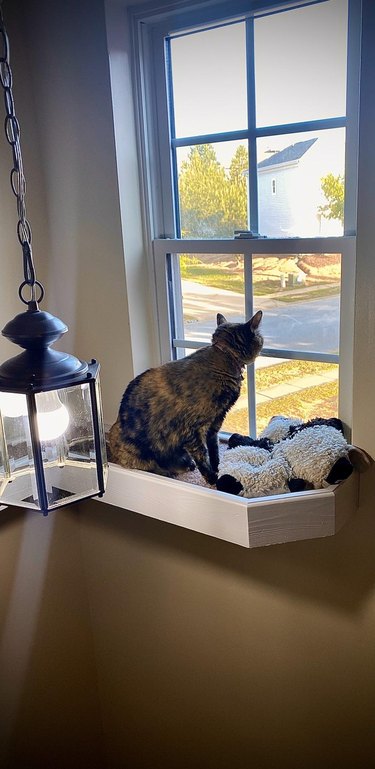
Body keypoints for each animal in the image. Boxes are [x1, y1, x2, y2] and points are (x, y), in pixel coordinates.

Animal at [108, 310, 264, 480]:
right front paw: (212, 478)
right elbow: (202, 454)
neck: (224, 356)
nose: (263, 341)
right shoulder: (191, 430)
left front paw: (217, 469)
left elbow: (214, 449)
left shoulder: (216, 422)